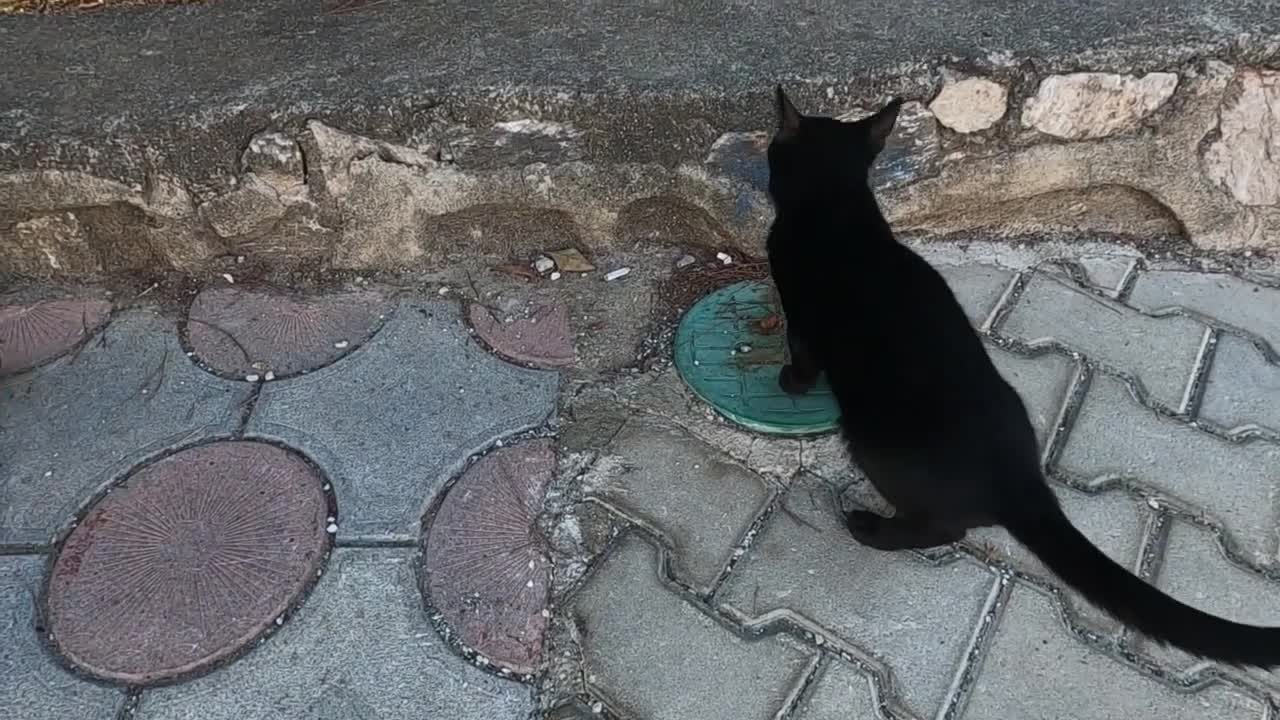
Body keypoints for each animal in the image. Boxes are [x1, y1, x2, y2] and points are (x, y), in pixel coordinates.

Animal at [762, 85, 1280, 666]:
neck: (838, 209)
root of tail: (1024, 480)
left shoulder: (801, 316)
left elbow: (803, 356)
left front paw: (790, 381)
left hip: (876, 446)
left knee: (944, 525)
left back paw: (870, 528)